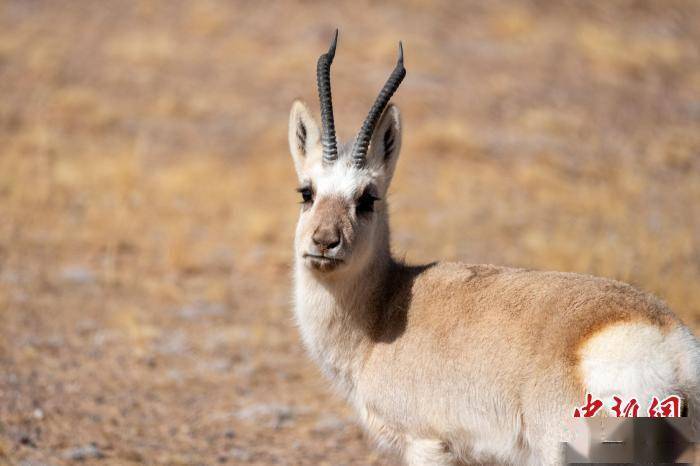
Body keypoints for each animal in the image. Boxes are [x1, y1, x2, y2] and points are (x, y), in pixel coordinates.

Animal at [288, 31, 696, 464]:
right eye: (307, 191)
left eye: (367, 198)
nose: (324, 242)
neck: (382, 310)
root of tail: (672, 350)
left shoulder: (425, 443)